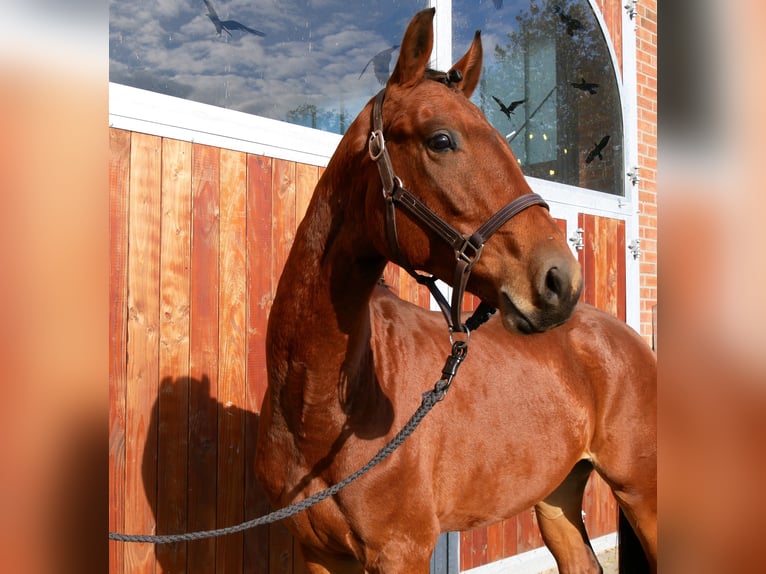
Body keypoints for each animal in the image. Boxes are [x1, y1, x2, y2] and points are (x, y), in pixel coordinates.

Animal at [255, 9, 656, 574]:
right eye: (441, 140)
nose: (561, 280)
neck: (321, 408)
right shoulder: (318, 554)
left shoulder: (402, 550)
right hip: (556, 499)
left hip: (644, 492)